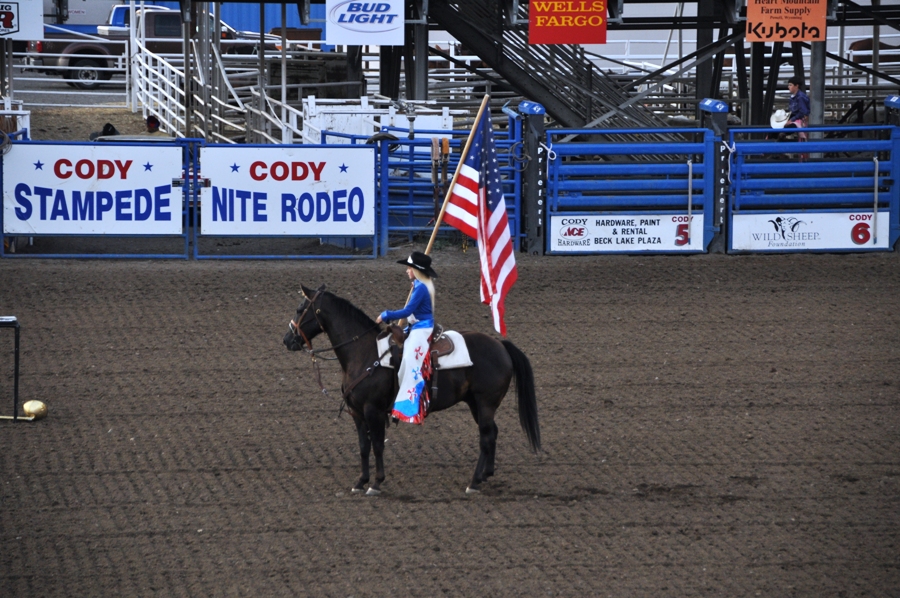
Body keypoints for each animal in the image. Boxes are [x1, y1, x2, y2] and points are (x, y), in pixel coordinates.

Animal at [284, 286, 540, 496]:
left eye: (300, 309)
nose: (287, 340)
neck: (364, 352)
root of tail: (501, 346)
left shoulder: (373, 411)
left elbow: (378, 445)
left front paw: (376, 483)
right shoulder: (357, 412)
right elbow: (364, 447)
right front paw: (360, 482)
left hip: (485, 403)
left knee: (485, 437)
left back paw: (474, 482)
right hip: (475, 404)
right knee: (492, 433)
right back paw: (486, 475)